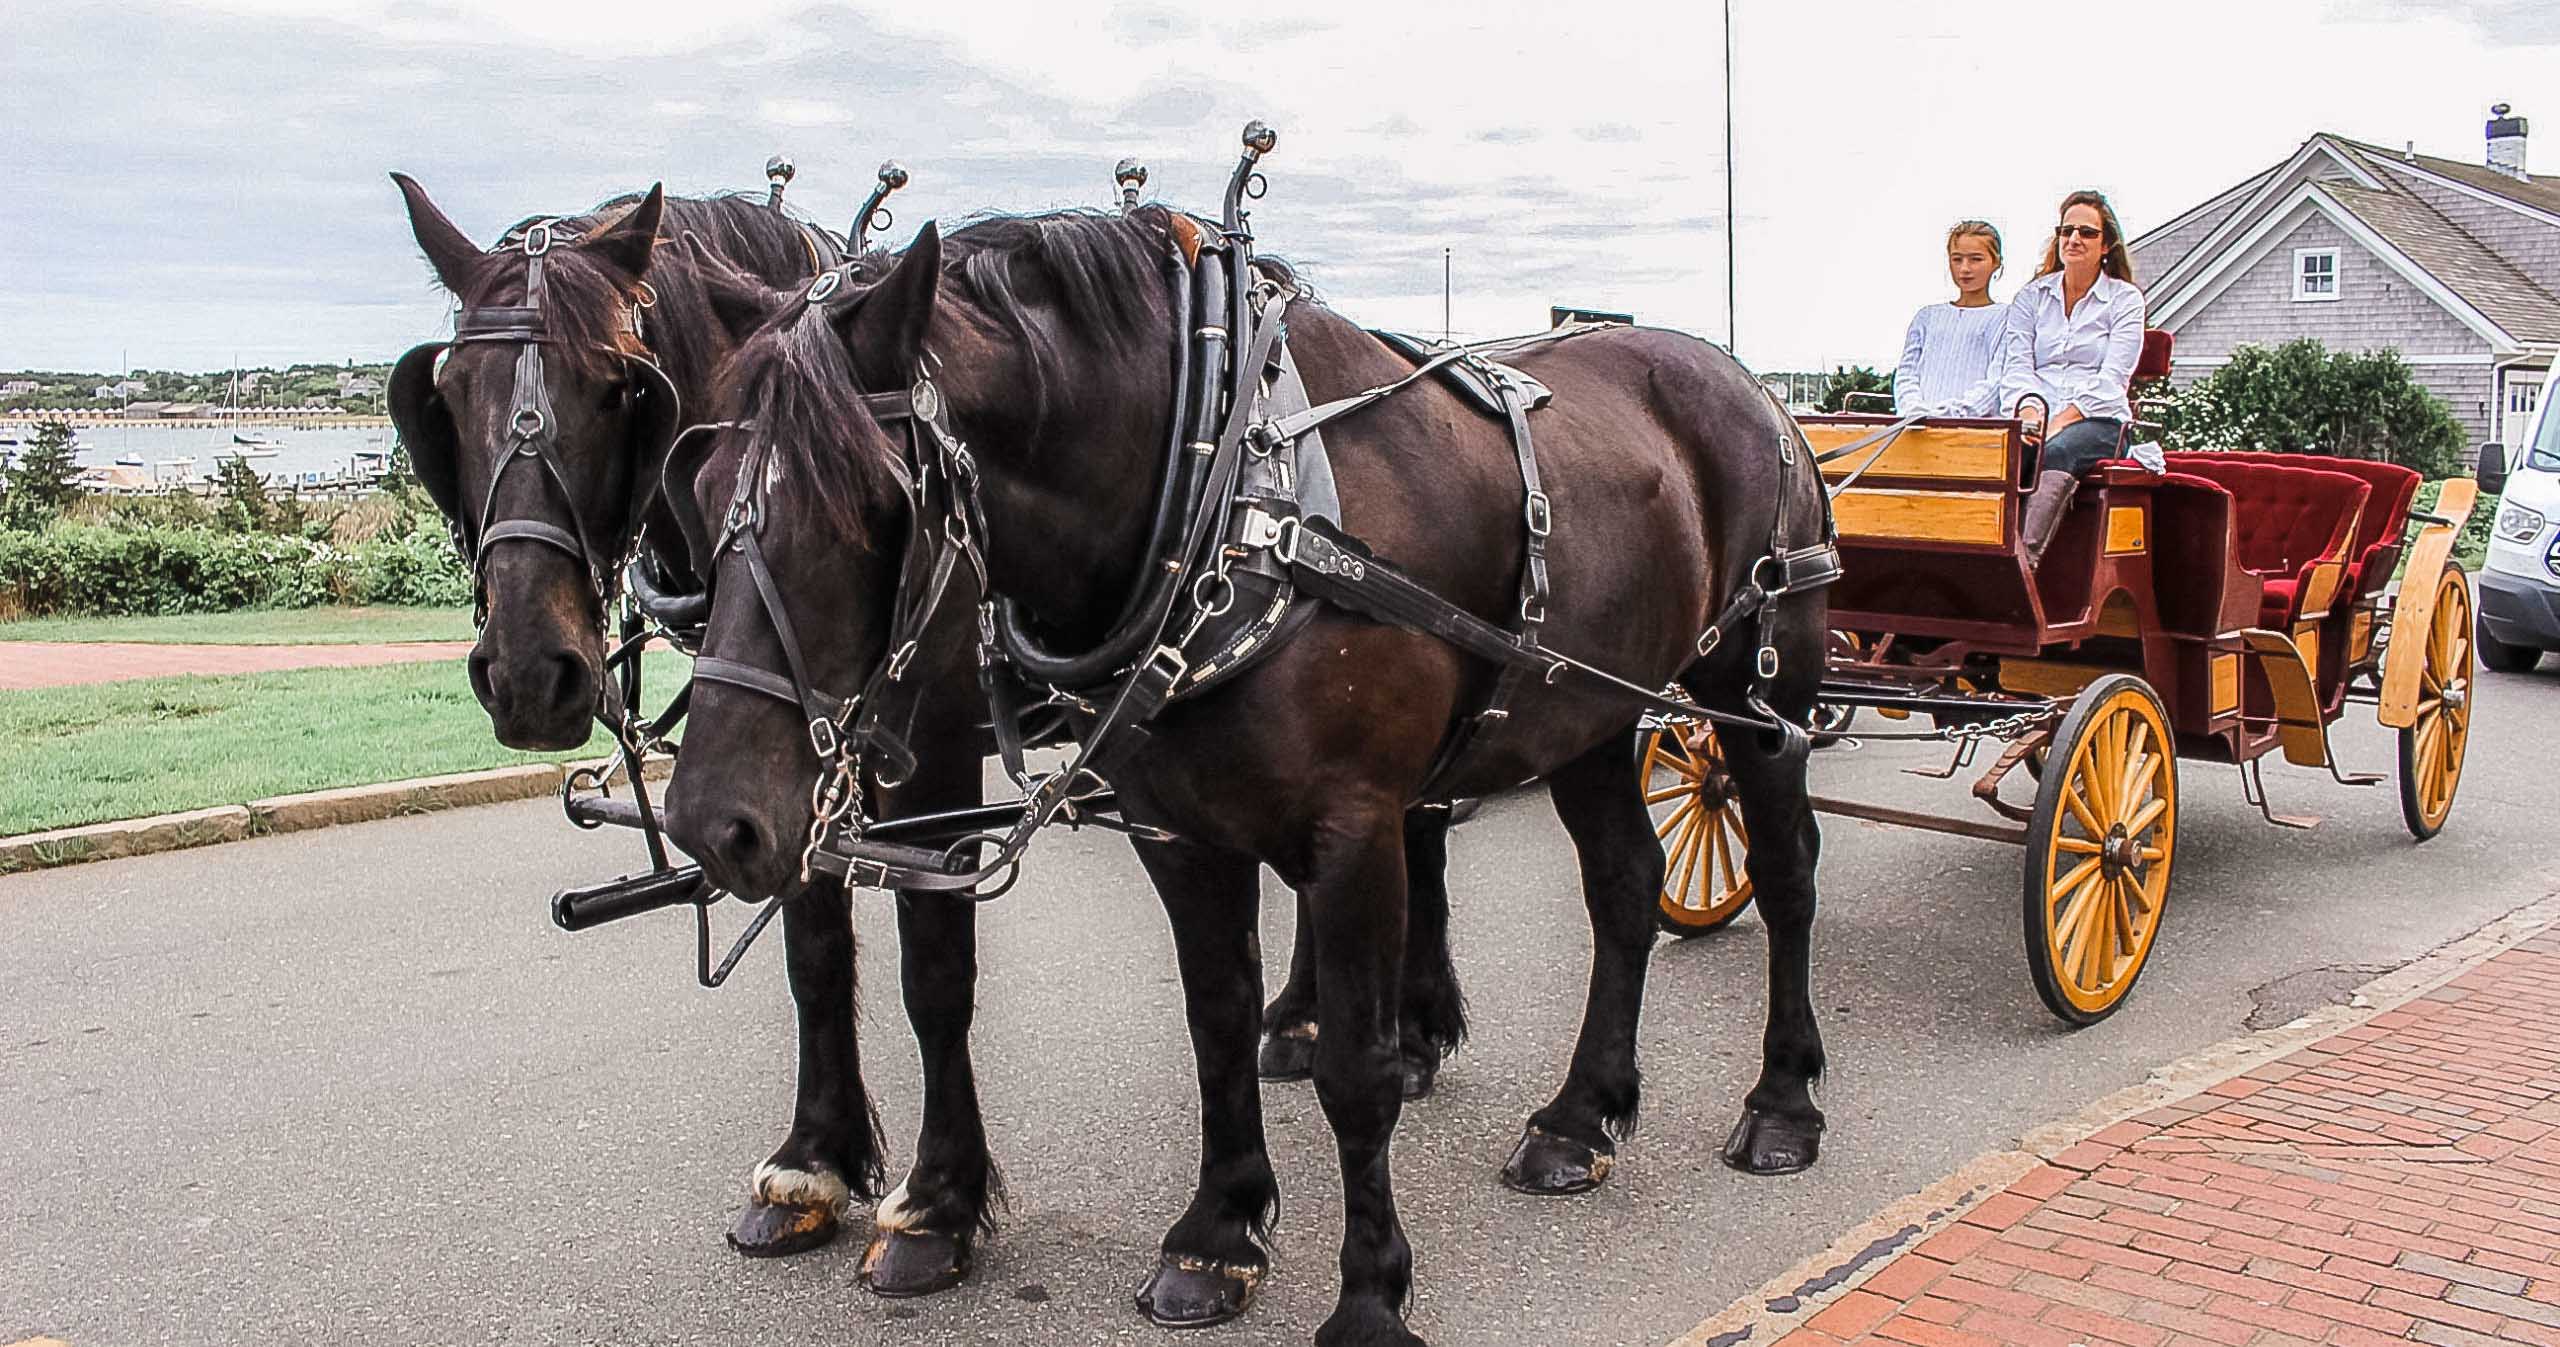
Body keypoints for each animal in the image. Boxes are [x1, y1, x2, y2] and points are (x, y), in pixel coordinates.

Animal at [660, 203, 1822, 1347]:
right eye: (700, 487)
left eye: (866, 500)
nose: (710, 822)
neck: (1230, 492)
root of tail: (1748, 382)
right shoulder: (1179, 831)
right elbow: (1215, 1022)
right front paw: (1217, 1234)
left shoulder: (1356, 831)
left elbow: (1355, 1069)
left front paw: (1369, 1297)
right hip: (1588, 713)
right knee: (1625, 885)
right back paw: (1580, 1119)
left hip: (1759, 695)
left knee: (1787, 871)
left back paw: (1781, 1103)